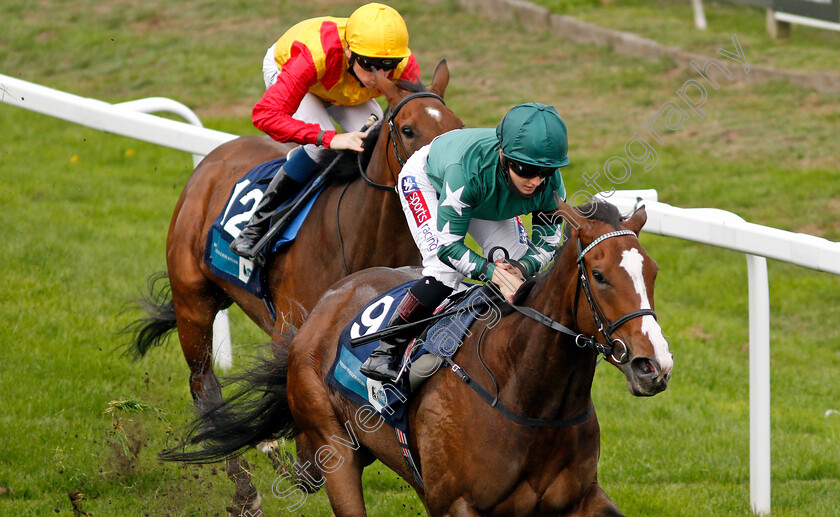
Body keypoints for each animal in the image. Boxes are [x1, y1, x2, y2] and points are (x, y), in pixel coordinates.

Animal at [164, 199, 676, 516]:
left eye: (653, 271)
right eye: (600, 275)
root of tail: (323, 307)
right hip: (337, 450)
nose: (653, 365)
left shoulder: (581, 499)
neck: (529, 397)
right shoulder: (457, 503)